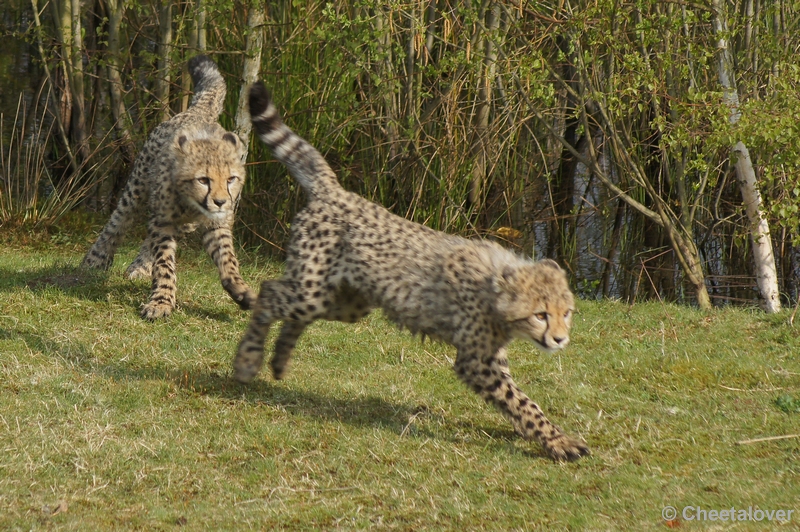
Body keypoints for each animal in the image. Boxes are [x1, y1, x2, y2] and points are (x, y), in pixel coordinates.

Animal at [82, 55, 252, 318]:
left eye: (230, 179)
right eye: (203, 180)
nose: (220, 201)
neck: (191, 203)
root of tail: (198, 111)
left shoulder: (215, 224)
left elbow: (227, 258)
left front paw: (239, 289)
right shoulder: (163, 220)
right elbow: (164, 263)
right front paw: (161, 302)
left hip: (183, 223)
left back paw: (139, 266)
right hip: (137, 188)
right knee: (117, 222)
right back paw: (95, 260)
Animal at [238, 82, 588, 462]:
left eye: (566, 313)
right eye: (541, 314)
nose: (560, 339)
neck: (496, 285)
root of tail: (336, 191)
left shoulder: (492, 356)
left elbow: (518, 400)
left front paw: (536, 434)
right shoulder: (476, 360)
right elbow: (523, 402)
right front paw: (557, 441)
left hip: (345, 302)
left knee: (293, 312)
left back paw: (279, 361)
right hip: (312, 290)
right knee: (269, 290)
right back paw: (248, 360)